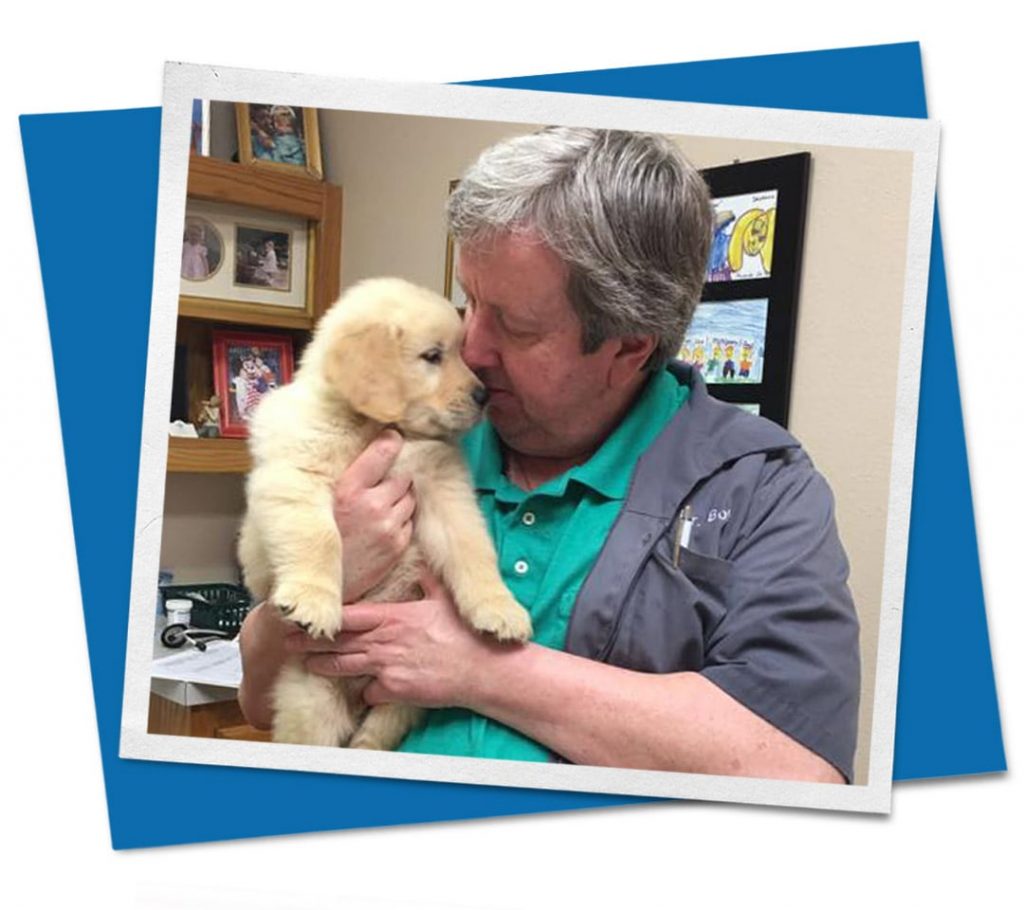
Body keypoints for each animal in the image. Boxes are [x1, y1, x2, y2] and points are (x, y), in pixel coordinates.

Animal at [236, 276, 532, 745]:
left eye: (462, 352)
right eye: (433, 356)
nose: (484, 395)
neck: (377, 426)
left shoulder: (443, 490)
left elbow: (472, 549)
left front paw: (499, 609)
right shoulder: (296, 476)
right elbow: (320, 537)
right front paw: (313, 601)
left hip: (403, 702)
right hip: (311, 703)